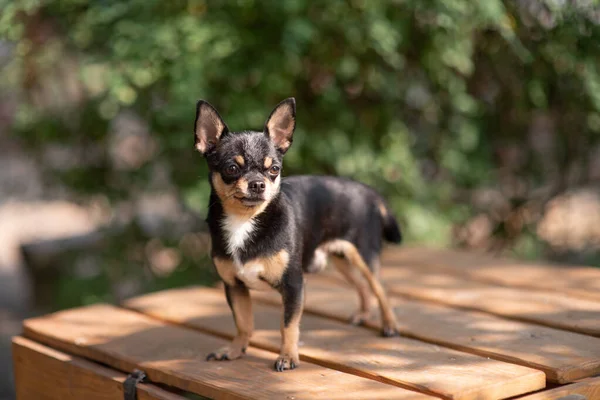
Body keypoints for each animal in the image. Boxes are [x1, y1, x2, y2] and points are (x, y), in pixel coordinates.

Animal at [196, 97, 404, 372]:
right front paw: (234, 350)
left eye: (274, 169)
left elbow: (288, 326)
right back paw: (363, 314)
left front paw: (287, 357)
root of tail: (369, 192)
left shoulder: (293, 285)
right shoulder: (234, 287)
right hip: (340, 258)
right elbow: (243, 323)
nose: (258, 184)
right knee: (362, 286)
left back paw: (390, 325)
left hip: (364, 255)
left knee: (380, 288)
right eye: (231, 168)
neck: (245, 221)